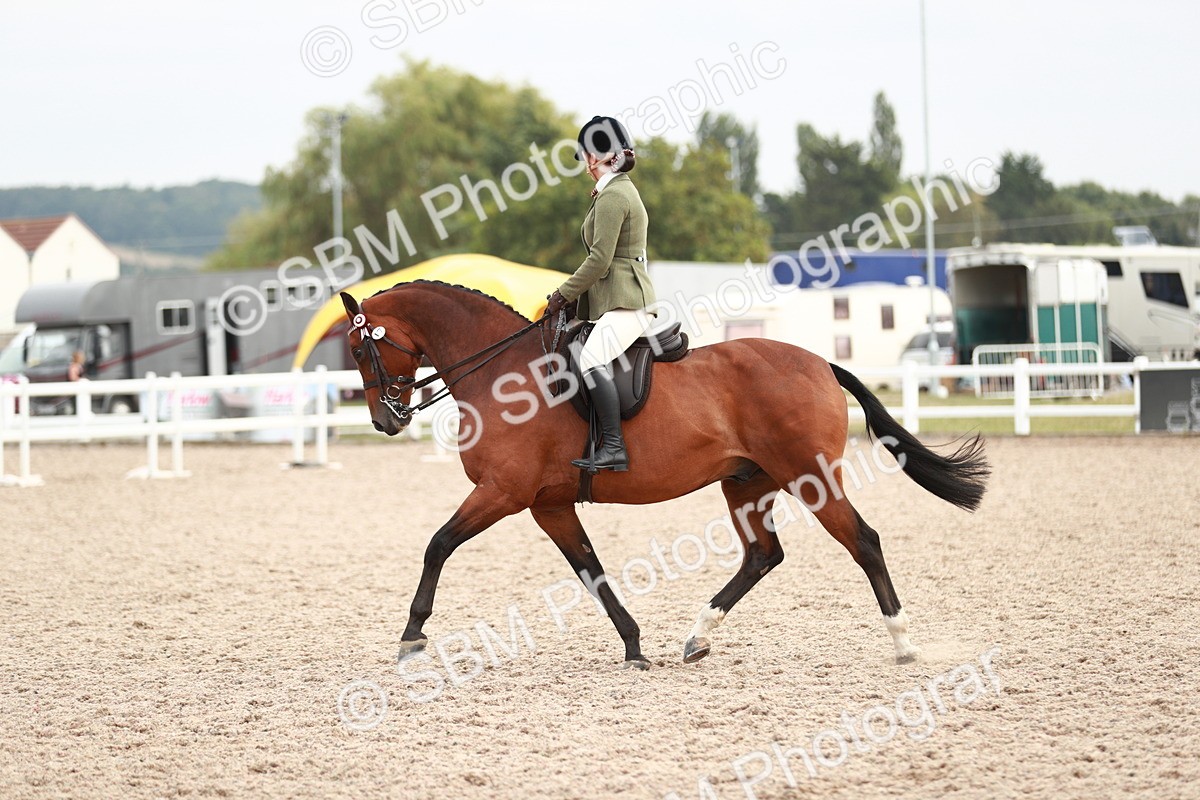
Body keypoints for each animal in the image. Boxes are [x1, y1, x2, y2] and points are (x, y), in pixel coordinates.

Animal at [339, 281, 989, 670]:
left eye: (361, 351)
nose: (383, 420)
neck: (501, 374)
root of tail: (821, 363)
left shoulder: (502, 492)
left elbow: (437, 544)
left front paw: (411, 636)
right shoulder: (548, 504)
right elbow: (592, 574)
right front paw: (633, 646)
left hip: (811, 478)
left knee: (864, 542)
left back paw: (903, 642)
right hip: (746, 483)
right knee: (762, 555)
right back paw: (698, 635)